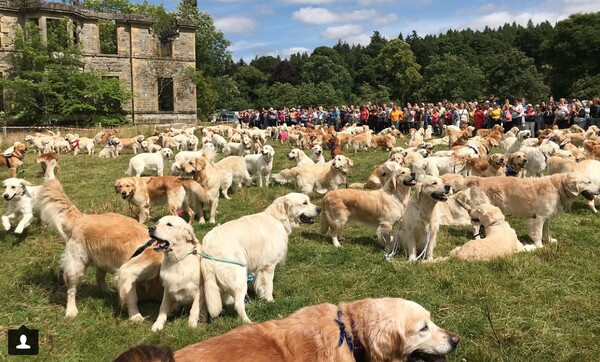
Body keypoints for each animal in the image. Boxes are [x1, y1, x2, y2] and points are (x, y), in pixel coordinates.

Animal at [202, 192, 322, 322]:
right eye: (305, 203)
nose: (320, 209)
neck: (278, 219)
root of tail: (207, 246)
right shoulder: (268, 266)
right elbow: (268, 286)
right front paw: (270, 301)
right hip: (239, 275)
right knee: (238, 304)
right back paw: (248, 321)